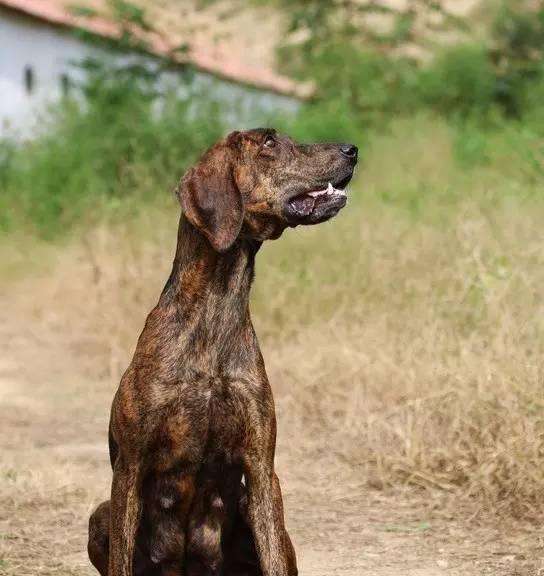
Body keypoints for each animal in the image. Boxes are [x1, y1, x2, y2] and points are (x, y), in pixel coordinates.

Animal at [87, 128, 360, 572]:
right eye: (269, 143)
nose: (351, 150)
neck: (218, 307)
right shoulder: (128, 470)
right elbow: (120, 561)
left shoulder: (262, 469)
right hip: (101, 513)